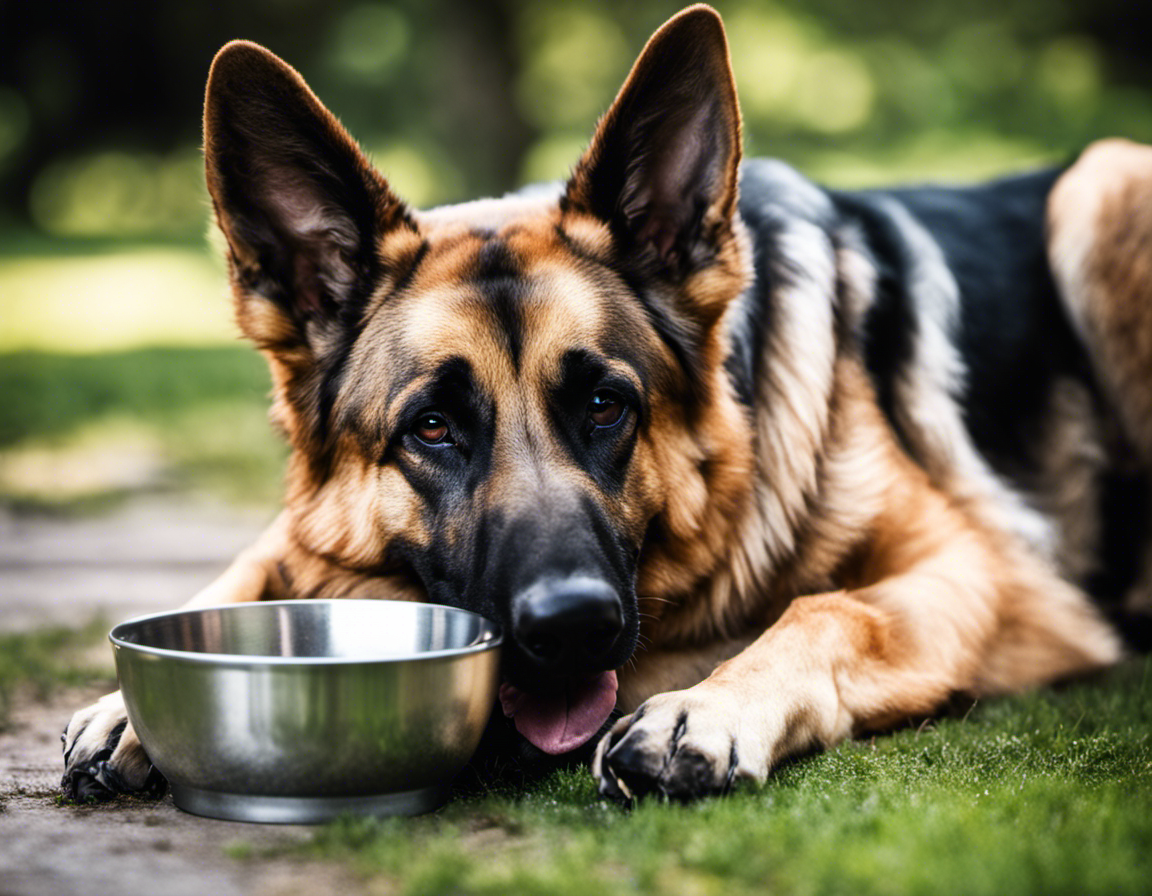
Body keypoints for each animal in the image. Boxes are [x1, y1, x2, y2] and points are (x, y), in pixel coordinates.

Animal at [65, 5, 1152, 801]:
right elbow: (261, 557)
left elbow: (830, 607)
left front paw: (703, 706)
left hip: (1102, 188)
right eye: (431, 428)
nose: (574, 625)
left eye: (604, 405)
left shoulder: (989, 576)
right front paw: (126, 699)